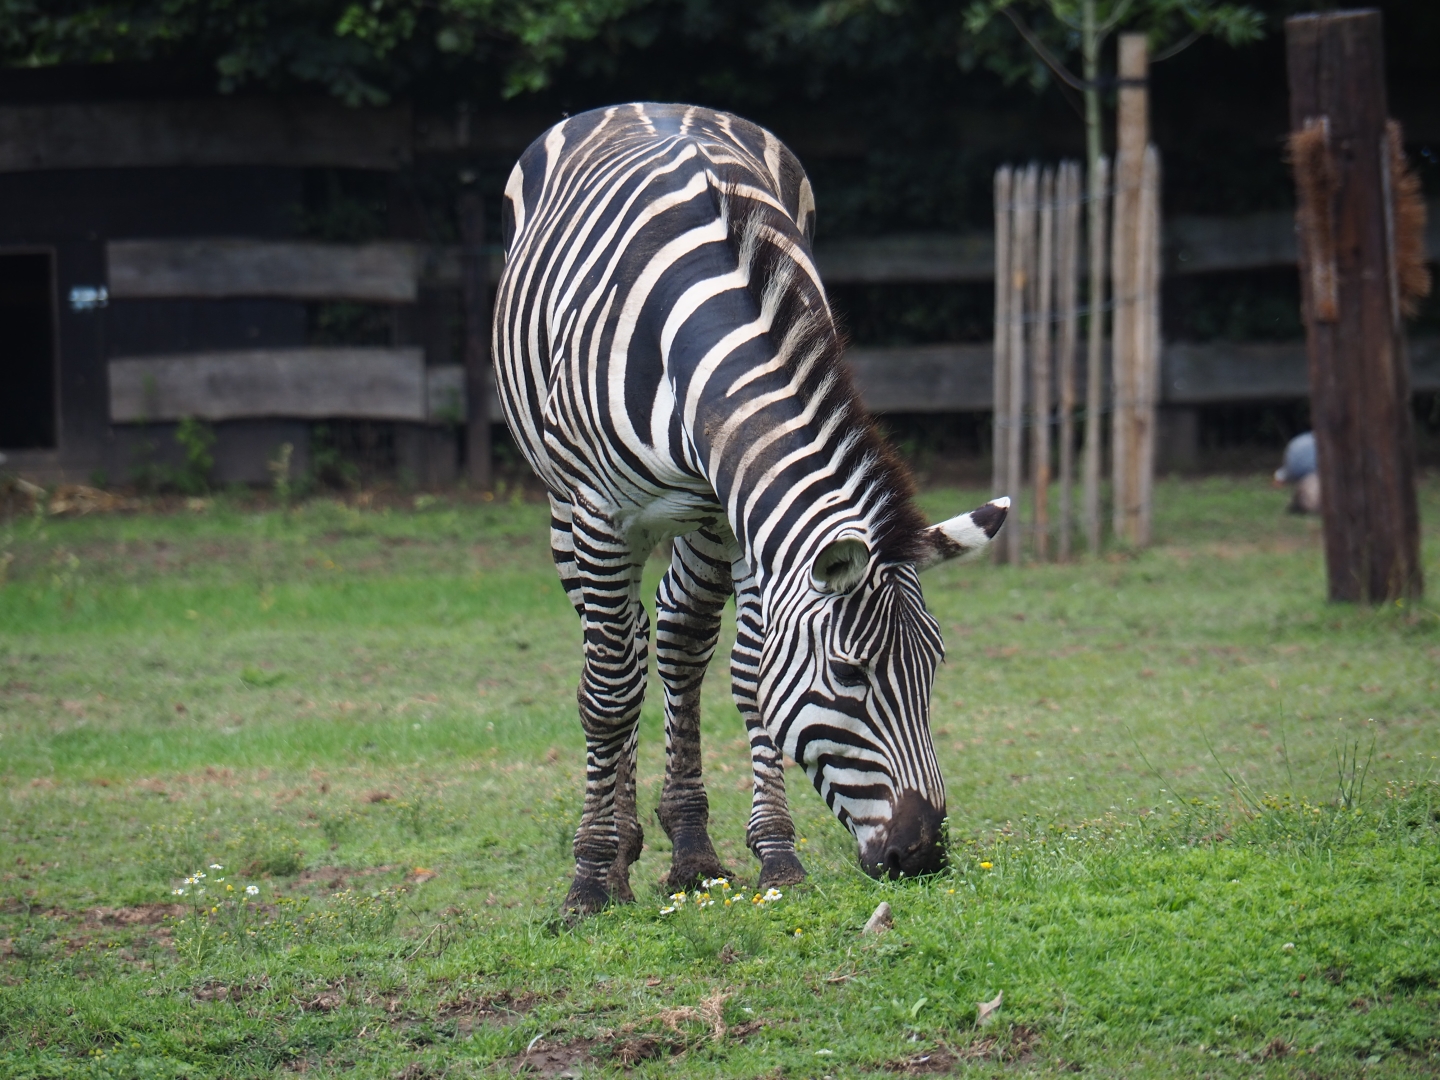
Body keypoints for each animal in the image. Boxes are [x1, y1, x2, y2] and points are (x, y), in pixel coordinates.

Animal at [493, 103, 1008, 915]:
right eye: (850, 675)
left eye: (934, 666)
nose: (923, 855)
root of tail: (644, 102)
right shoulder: (602, 513)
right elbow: (609, 694)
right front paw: (590, 879)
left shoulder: (735, 513)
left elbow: (750, 676)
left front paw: (775, 855)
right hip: (563, 505)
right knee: (614, 652)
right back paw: (618, 845)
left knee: (673, 638)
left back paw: (689, 848)